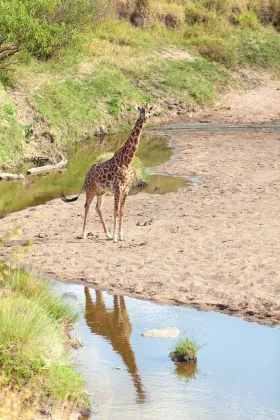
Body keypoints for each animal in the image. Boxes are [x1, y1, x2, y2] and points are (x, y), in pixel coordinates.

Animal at [61, 102, 153, 243]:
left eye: (149, 111)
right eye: (141, 111)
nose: (146, 118)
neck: (127, 161)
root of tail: (87, 174)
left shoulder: (126, 189)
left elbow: (122, 211)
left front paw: (120, 236)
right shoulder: (117, 188)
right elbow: (115, 211)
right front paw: (115, 238)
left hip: (101, 192)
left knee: (98, 208)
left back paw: (107, 234)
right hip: (91, 189)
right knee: (86, 206)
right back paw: (84, 234)